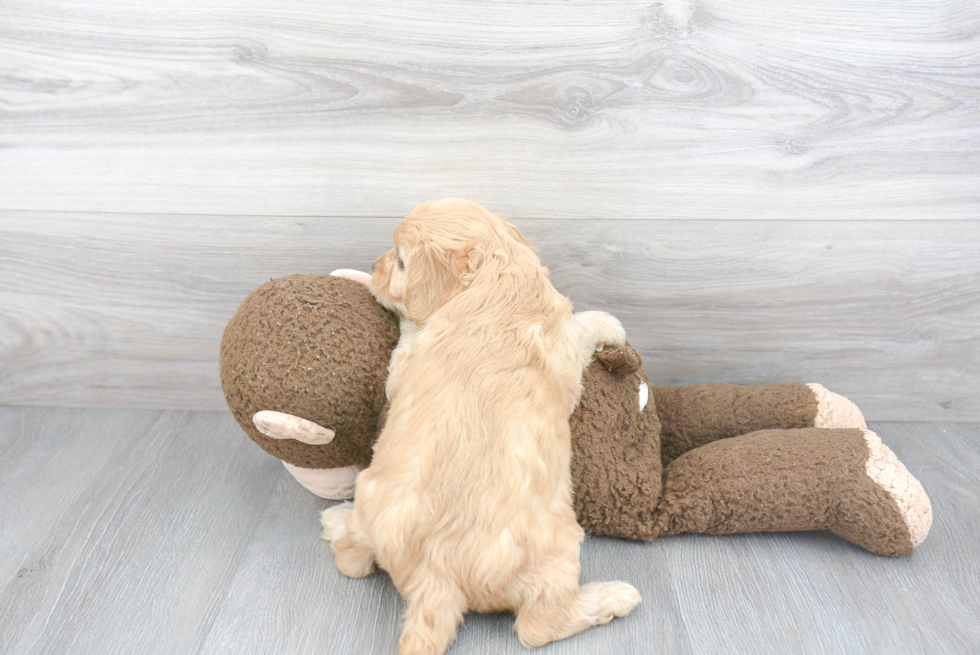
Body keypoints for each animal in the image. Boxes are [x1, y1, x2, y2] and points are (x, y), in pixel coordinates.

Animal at [322, 197, 644, 652]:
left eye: (400, 261)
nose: (373, 264)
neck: (495, 278)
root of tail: (435, 575)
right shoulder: (563, 340)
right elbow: (583, 325)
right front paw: (608, 323)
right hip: (558, 552)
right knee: (537, 626)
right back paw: (612, 597)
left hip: (371, 496)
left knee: (353, 561)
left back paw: (336, 522)